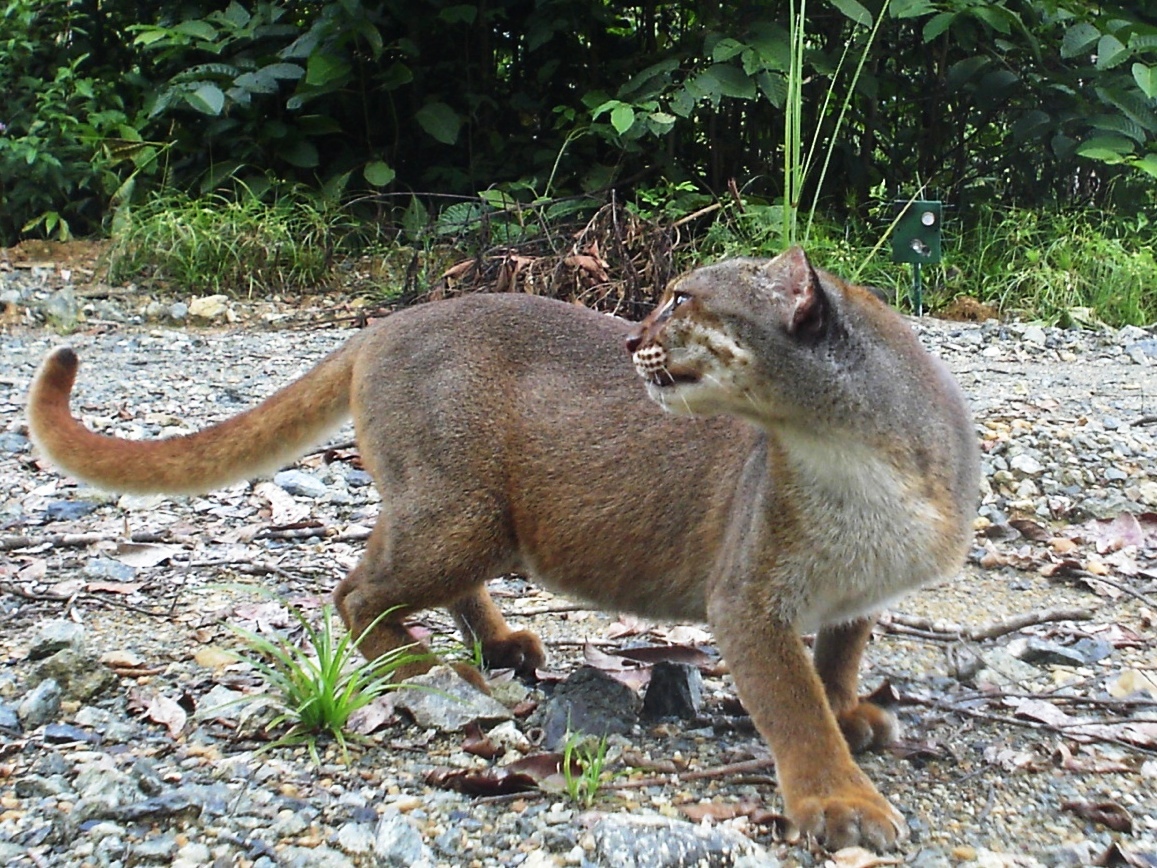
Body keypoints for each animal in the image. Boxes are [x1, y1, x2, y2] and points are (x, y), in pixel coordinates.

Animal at [24, 247, 976, 851]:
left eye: (680, 299)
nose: (630, 340)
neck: (854, 452)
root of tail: (381, 326)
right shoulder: (747, 598)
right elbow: (791, 705)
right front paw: (838, 799)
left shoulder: (863, 593)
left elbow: (837, 657)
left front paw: (852, 711)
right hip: (466, 511)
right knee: (354, 594)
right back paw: (434, 673)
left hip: (474, 514)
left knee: (408, 584)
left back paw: (497, 643)